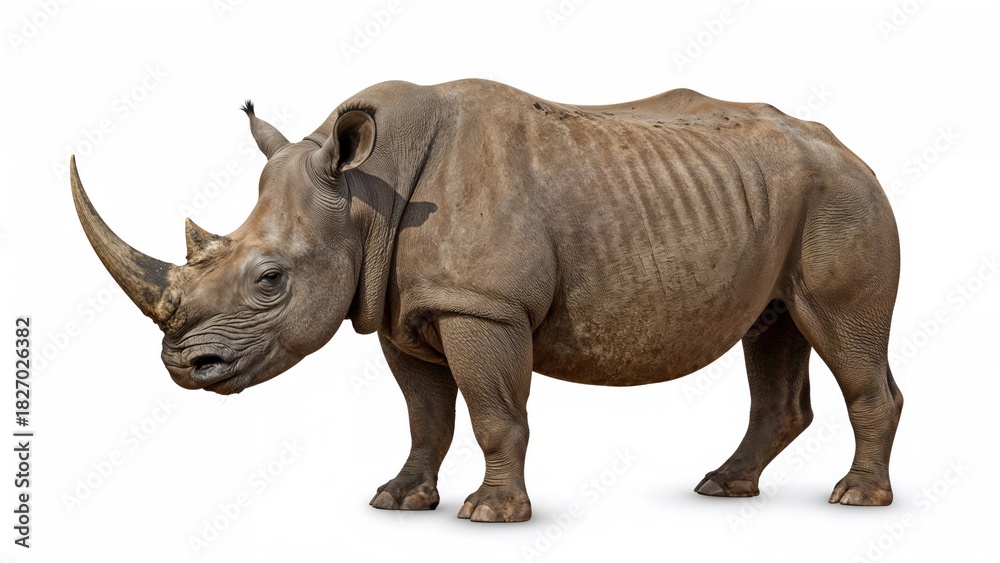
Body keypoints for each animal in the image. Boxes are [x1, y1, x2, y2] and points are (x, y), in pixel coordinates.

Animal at [70, 79, 903, 522]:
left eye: (269, 280)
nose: (185, 364)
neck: (364, 193)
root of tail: (850, 147)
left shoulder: (482, 305)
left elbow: (493, 412)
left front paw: (490, 513)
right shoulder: (404, 310)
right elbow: (426, 414)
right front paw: (397, 498)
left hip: (842, 198)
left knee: (841, 332)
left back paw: (855, 498)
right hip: (789, 196)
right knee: (773, 330)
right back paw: (723, 487)